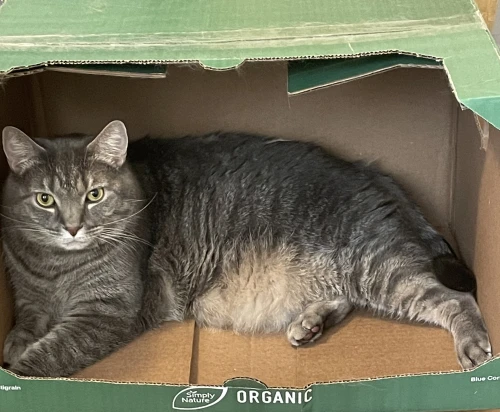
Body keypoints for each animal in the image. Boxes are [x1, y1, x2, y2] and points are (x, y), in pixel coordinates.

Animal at [0, 120, 492, 376]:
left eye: (94, 194)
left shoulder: (106, 313)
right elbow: (23, 331)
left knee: (454, 296)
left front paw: (18, 375)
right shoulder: (30, 303)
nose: (72, 227)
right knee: (347, 298)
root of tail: (376, 175)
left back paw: (474, 344)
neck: (55, 268)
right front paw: (12, 347)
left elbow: (49, 354)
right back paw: (310, 322)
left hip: (374, 265)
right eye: (45, 199)